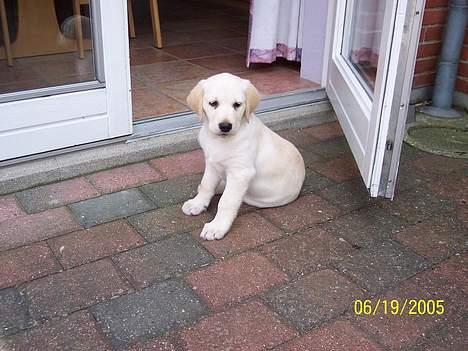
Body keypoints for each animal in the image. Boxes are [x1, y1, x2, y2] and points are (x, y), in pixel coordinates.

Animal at [181, 73, 306, 241]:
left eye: (237, 105)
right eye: (213, 103)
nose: (225, 126)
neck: (220, 141)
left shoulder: (240, 173)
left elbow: (226, 201)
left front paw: (217, 226)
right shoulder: (212, 164)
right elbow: (206, 185)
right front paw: (197, 204)